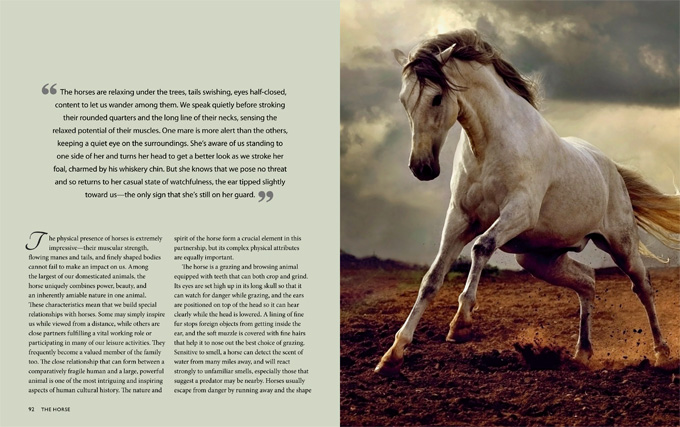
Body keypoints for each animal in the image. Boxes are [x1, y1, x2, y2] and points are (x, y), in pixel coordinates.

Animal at [375, 29, 680, 377]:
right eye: (404, 100)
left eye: (437, 97)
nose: (421, 168)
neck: (491, 145)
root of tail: (611, 168)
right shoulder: (459, 219)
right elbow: (432, 279)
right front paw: (392, 355)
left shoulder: (519, 211)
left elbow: (481, 246)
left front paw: (460, 325)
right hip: (539, 258)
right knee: (588, 281)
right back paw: (582, 353)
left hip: (621, 246)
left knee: (643, 287)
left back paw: (662, 354)